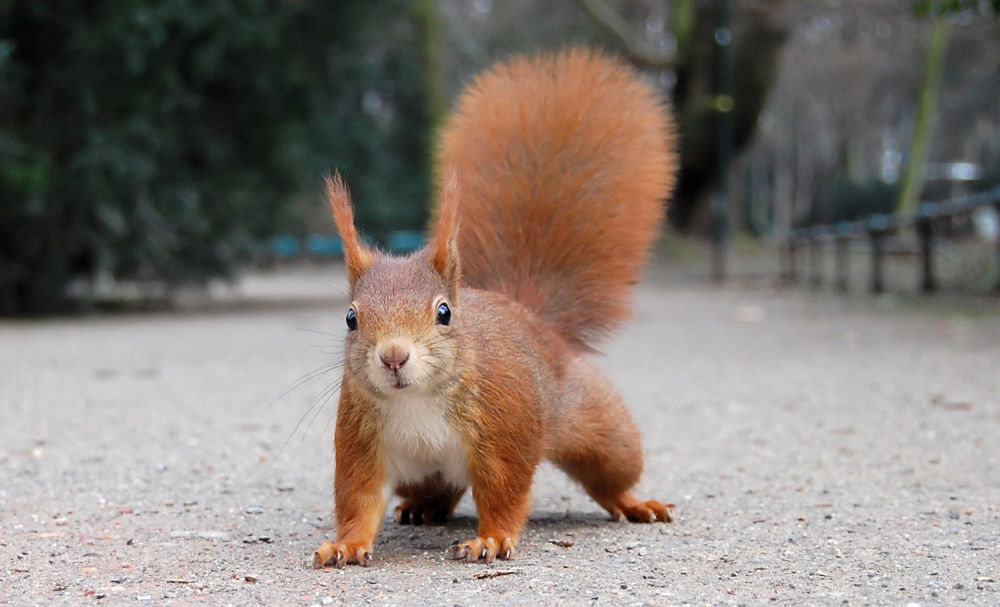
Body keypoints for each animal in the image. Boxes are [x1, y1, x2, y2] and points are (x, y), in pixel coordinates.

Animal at [313, 49, 678, 569]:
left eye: (445, 312)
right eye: (350, 318)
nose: (394, 357)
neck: (416, 400)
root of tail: (530, 315)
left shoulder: (504, 432)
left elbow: (503, 492)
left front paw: (491, 538)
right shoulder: (362, 443)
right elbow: (358, 500)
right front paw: (345, 544)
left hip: (600, 427)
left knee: (611, 474)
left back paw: (634, 502)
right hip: (422, 472)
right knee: (439, 489)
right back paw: (422, 508)